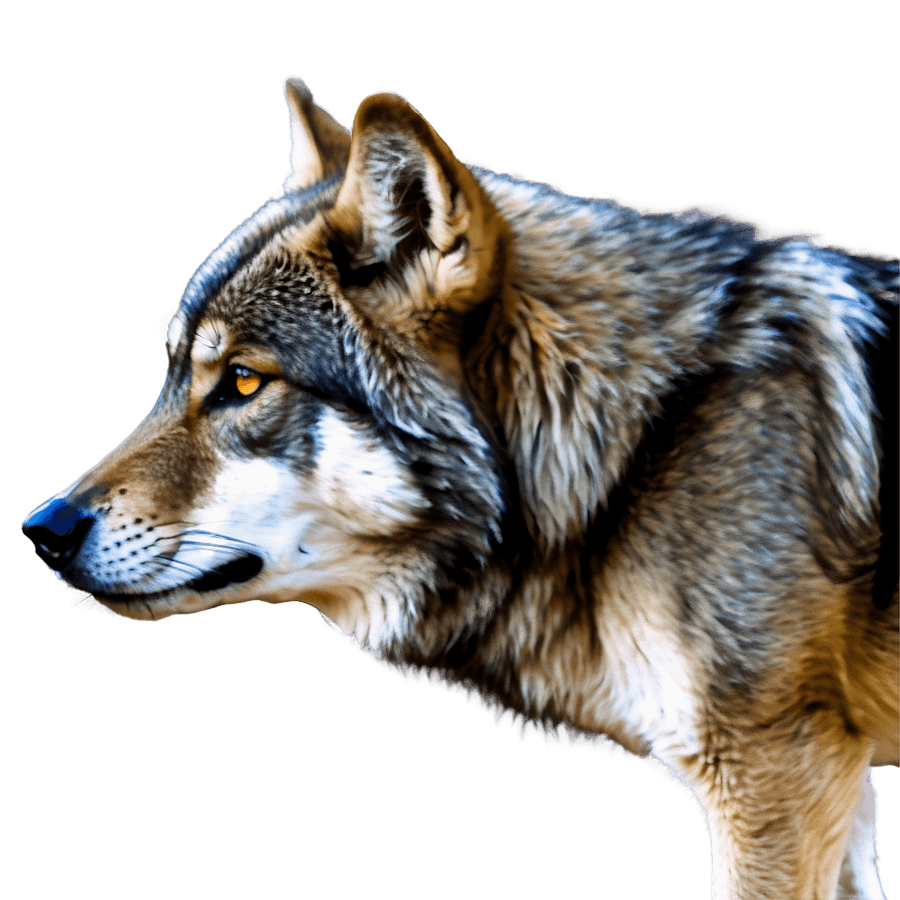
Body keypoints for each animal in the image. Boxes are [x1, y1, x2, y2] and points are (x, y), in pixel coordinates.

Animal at [22, 76, 898, 899]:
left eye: (241, 381)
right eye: (174, 376)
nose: (44, 530)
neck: (636, 445)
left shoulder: (778, 777)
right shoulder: (833, 779)